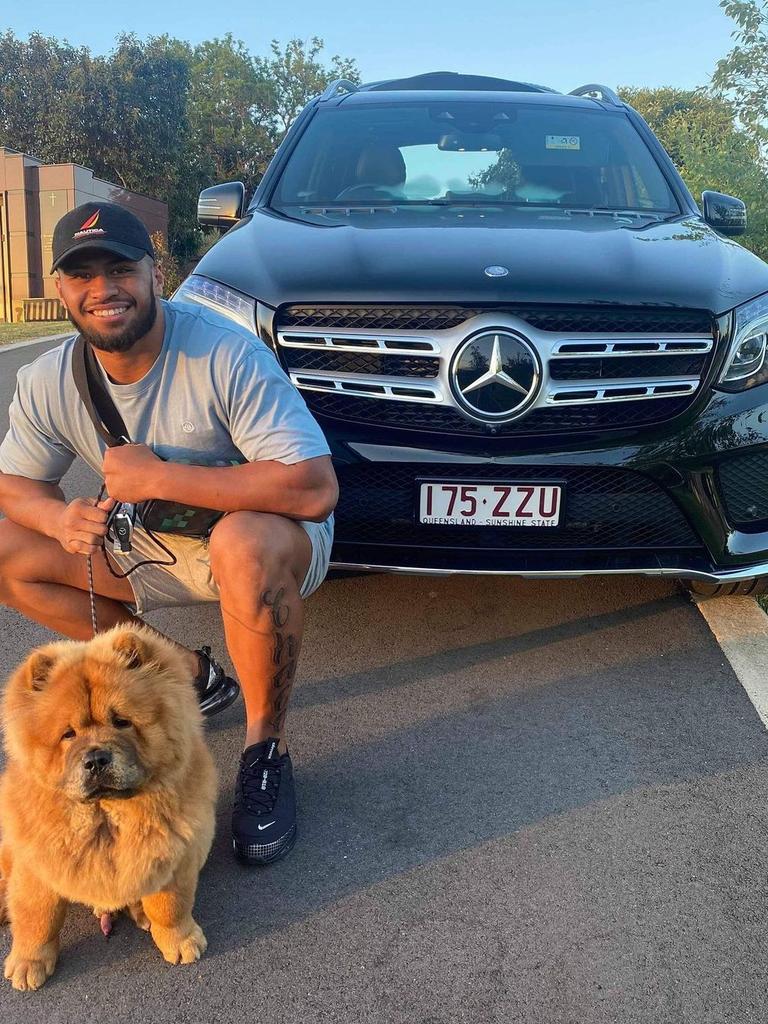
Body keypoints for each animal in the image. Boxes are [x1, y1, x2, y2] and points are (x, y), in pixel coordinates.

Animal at [0, 622, 219, 991]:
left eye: (121, 722)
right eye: (68, 734)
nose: (96, 759)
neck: (106, 819)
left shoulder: (175, 857)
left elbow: (170, 906)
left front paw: (181, 941)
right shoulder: (37, 867)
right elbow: (37, 918)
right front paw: (28, 964)